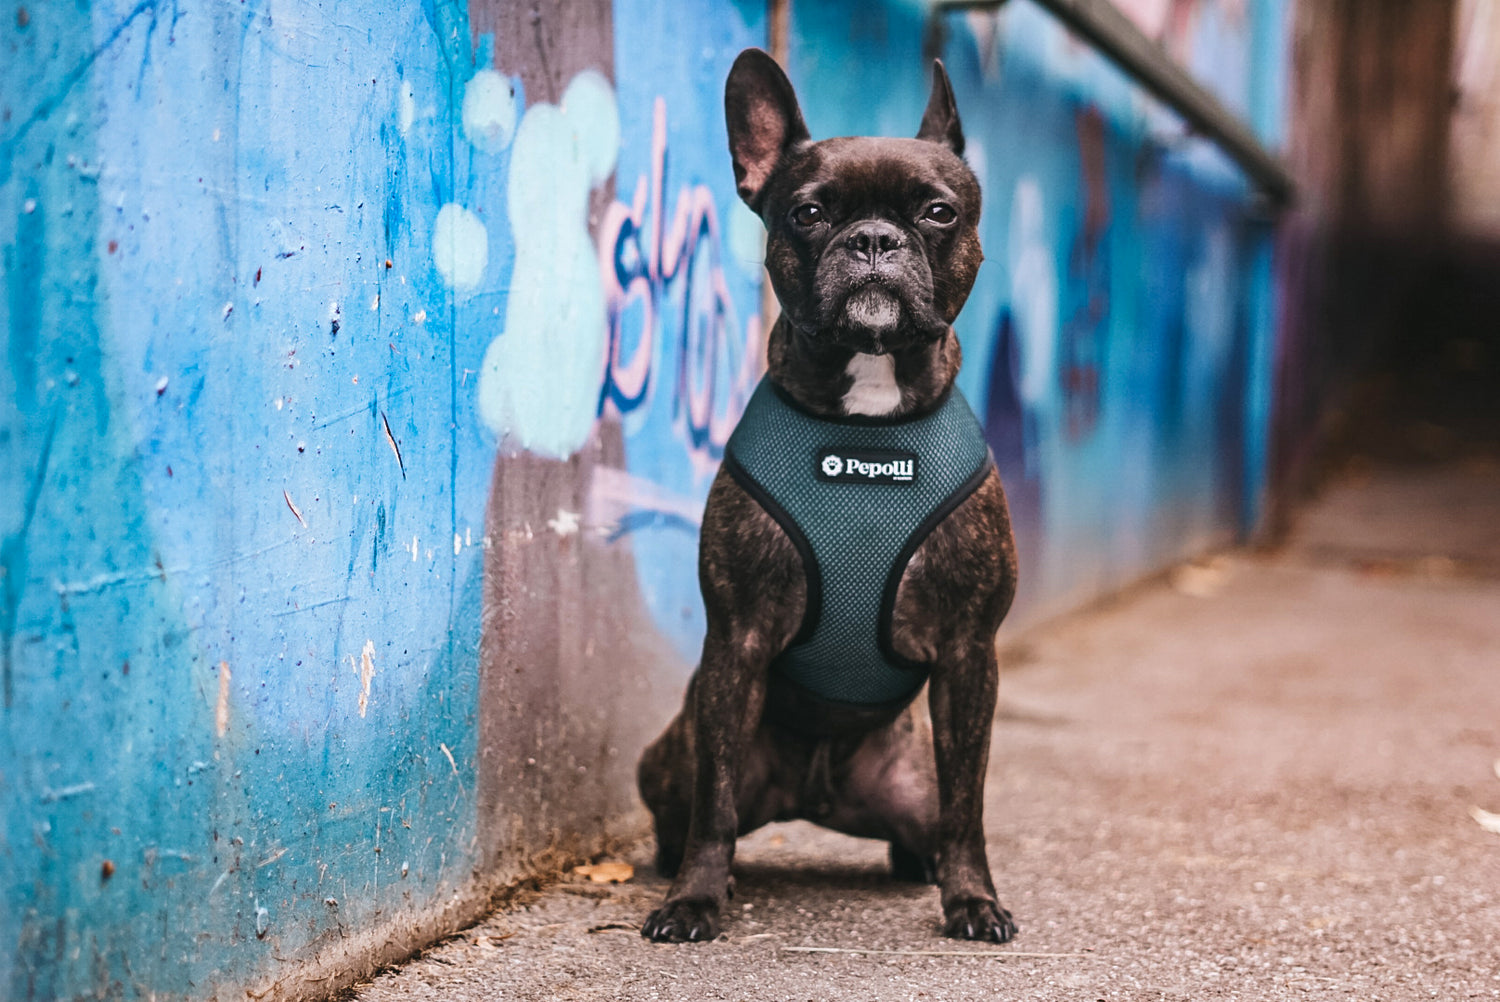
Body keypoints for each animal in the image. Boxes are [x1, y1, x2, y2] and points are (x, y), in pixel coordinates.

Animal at [636, 46, 1020, 942]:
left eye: (939, 212)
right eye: (809, 212)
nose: (874, 238)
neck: (866, 422)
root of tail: (812, 794)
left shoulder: (969, 654)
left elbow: (971, 803)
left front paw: (973, 900)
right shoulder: (736, 643)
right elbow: (713, 803)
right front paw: (695, 900)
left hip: (911, 784)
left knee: (931, 820)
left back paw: (928, 869)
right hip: (674, 750)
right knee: (692, 804)